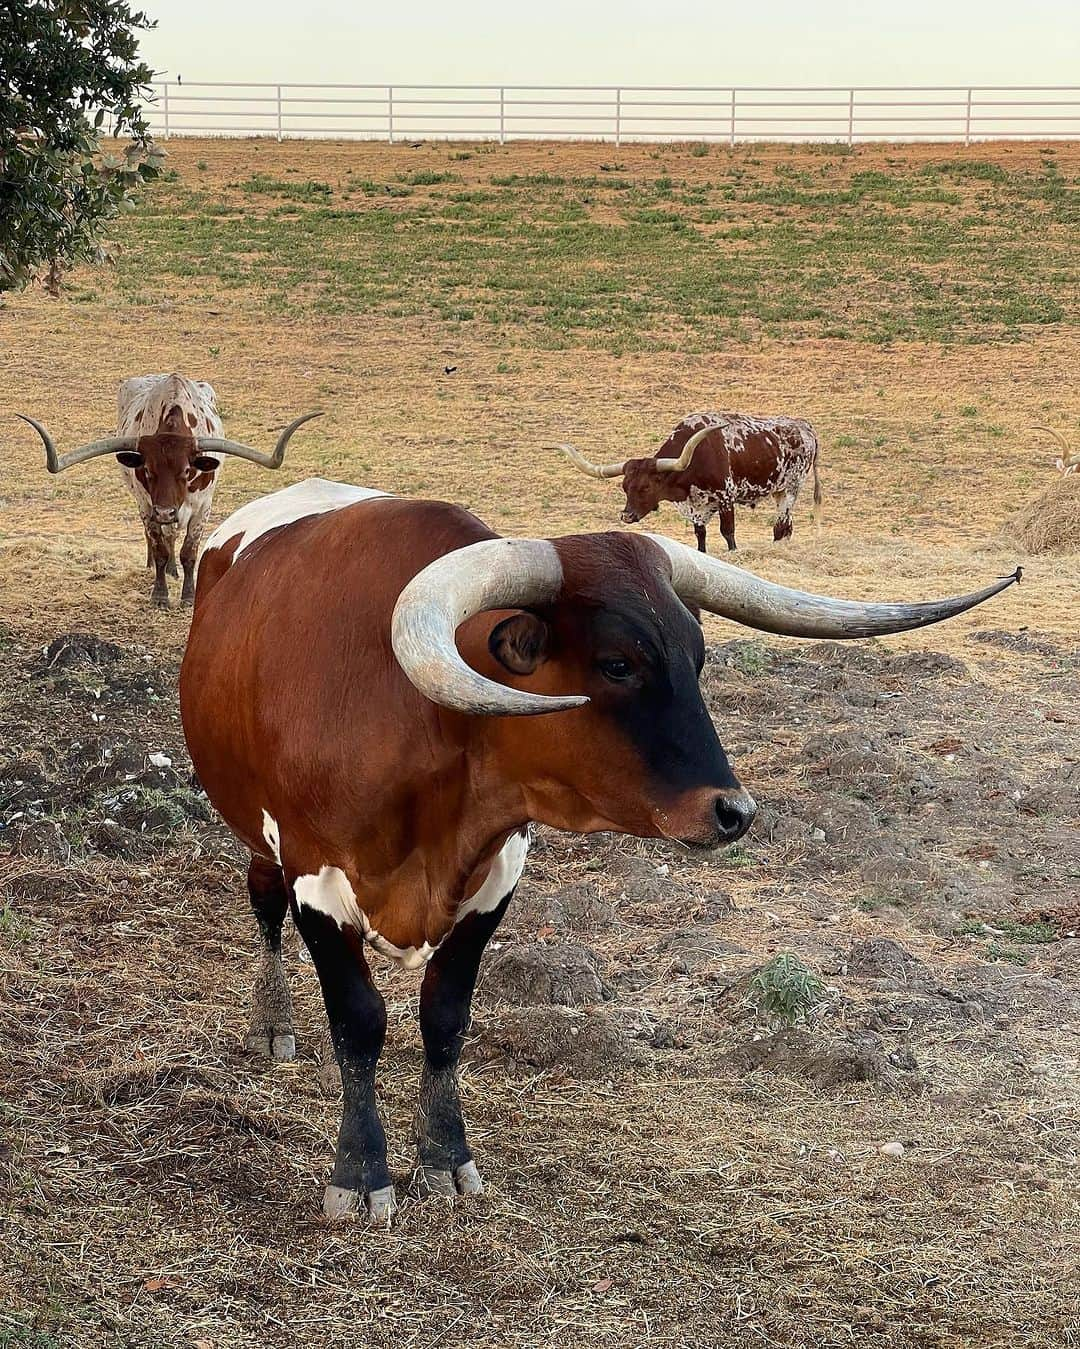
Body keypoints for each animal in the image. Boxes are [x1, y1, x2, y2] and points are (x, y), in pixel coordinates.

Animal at [17, 369, 320, 601]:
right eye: (147, 470)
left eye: (187, 470)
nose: (165, 511)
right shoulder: (147, 506)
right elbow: (160, 547)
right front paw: (160, 594)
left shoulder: (202, 507)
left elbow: (189, 552)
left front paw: (187, 595)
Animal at [179, 474, 1019, 1224]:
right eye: (619, 663)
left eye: (698, 658)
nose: (734, 811)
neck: (411, 719)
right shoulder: (316, 877)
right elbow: (359, 1023)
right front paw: (360, 1175)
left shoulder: (497, 875)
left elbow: (445, 1018)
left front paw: (447, 1159)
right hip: (256, 838)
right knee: (261, 907)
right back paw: (271, 1020)